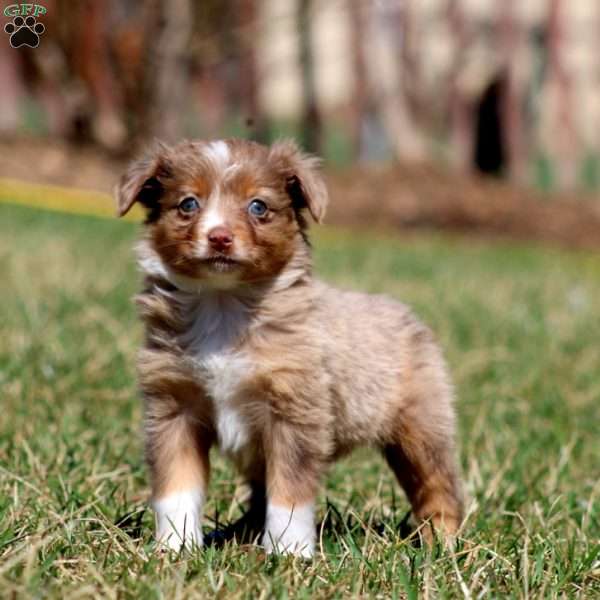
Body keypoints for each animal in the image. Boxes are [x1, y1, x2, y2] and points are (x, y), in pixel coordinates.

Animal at [117, 137, 464, 556]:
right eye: (188, 203)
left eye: (258, 206)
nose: (220, 237)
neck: (223, 304)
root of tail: (406, 312)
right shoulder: (173, 407)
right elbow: (177, 486)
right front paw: (175, 546)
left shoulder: (294, 412)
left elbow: (290, 492)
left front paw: (289, 552)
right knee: (258, 496)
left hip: (422, 428)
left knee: (438, 486)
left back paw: (443, 545)